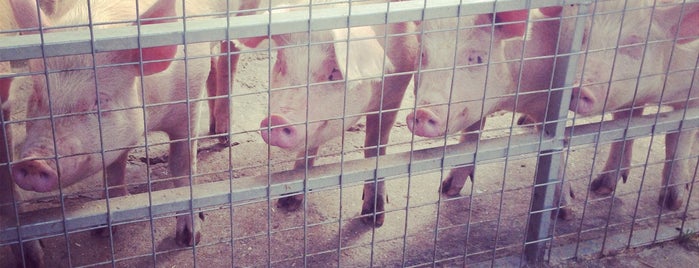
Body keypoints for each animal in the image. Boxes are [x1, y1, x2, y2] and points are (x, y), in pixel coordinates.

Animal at [6, 0, 215, 247]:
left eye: (100, 101)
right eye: (37, 96)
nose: (33, 162)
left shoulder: (190, 103)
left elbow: (182, 166)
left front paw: (189, 239)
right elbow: (114, 170)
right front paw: (103, 231)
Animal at [241, 3, 416, 227]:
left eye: (334, 72)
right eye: (281, 64)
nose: (276, 120)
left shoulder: (397, 89)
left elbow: (374, 147)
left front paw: (373, 219)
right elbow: (308, 149)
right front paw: (286, 203)